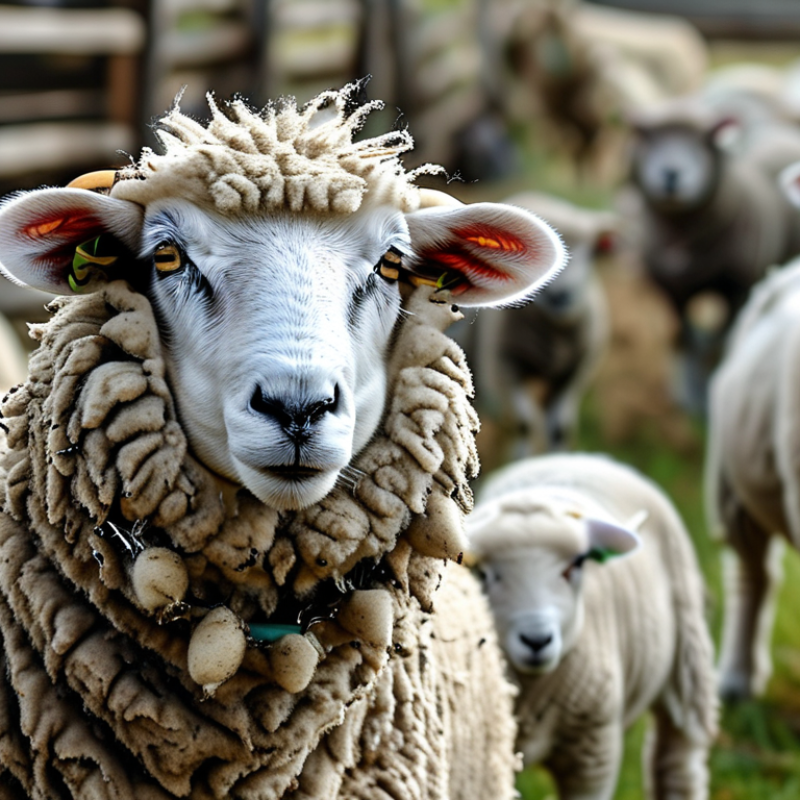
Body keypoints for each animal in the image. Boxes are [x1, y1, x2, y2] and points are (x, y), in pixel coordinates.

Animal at [455, 191, 613, 468]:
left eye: (592, 253)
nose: (562, 295)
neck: (554, 331)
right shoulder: (505, 365)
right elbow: (524, 424)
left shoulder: (573, 372)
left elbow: (560, 428)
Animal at [467, 452, 718, 800]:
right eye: (484, 573)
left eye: (574, 565)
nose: (536, 640)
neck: (532, 690)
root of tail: (575, 456)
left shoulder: (594, 751)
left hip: (686, 656)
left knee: (678, 759)